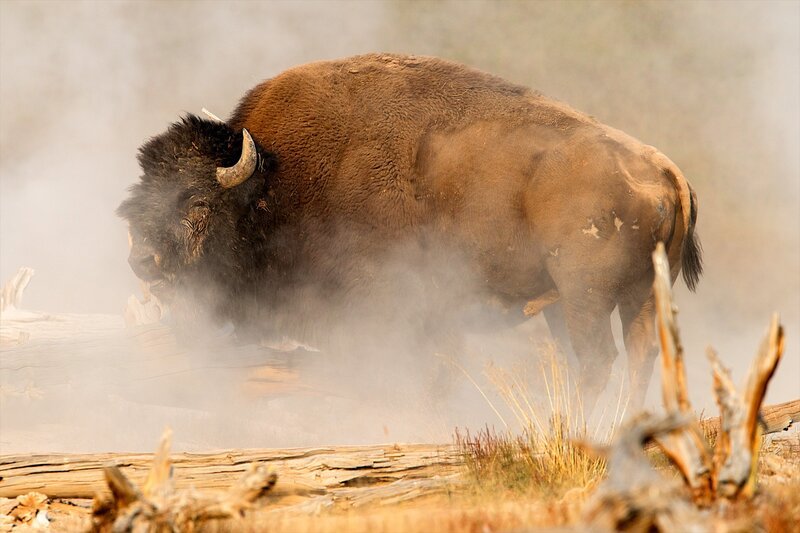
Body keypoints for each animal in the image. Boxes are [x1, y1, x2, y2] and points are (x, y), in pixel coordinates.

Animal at [118, 53, 701, 406]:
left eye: (195, 200)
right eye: (135, 202)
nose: (141, 261)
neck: (275, 179)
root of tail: (664, 170)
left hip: (585, 296)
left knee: (599, 360)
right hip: (632, 296)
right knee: (641, 358)